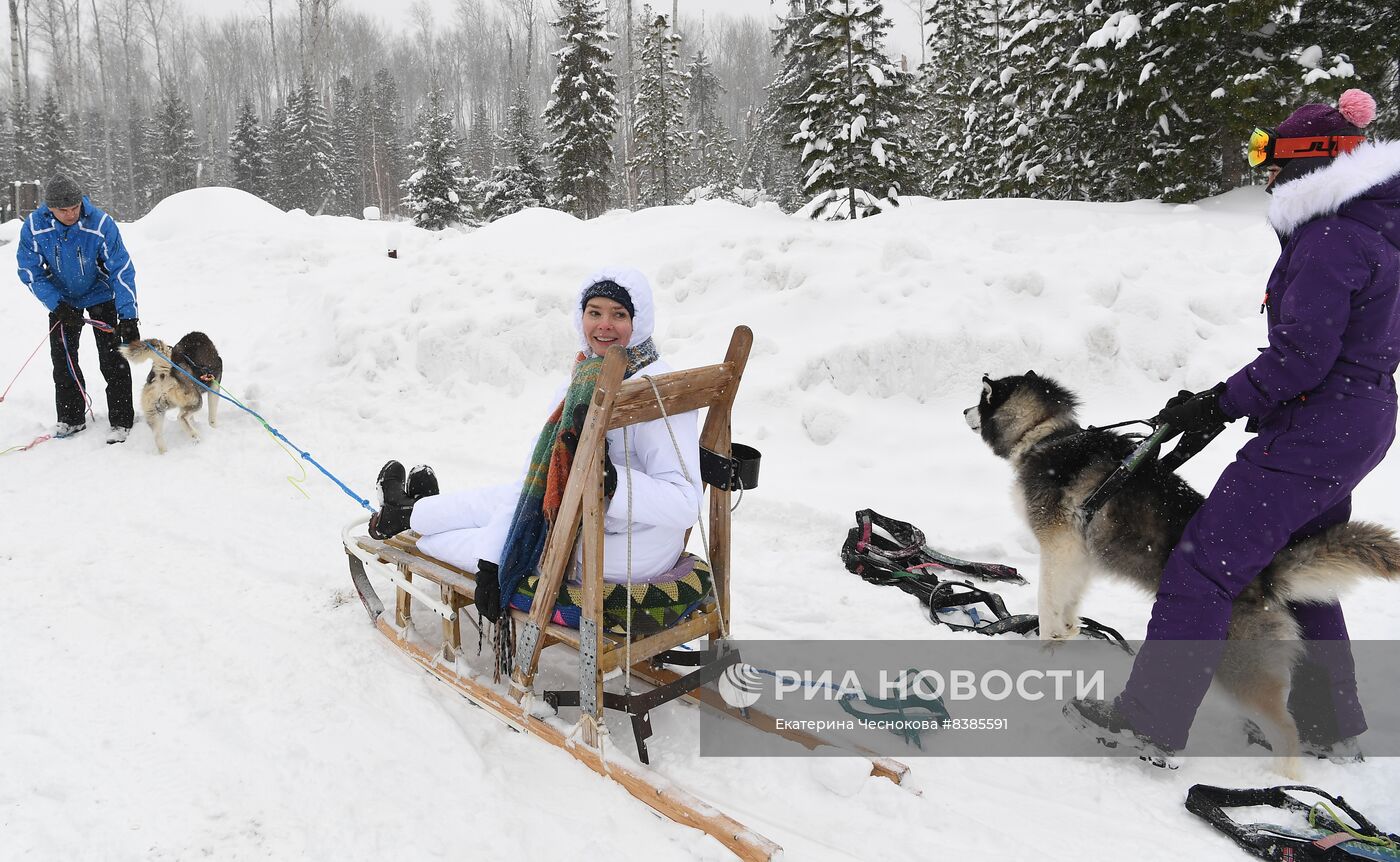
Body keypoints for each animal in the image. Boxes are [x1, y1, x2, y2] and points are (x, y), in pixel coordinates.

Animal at [963, 369, 1400, 766]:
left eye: (981, 397)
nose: (963, 409)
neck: (1047, 435)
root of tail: (1264, 579)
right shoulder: (1079, 555)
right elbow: (1068, 604)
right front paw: (1066, 636)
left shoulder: (1058, 545)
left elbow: (1048, 602)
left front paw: (1044, 649)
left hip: (1237, 668)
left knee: (1286, 730)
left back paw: (1284, 777)